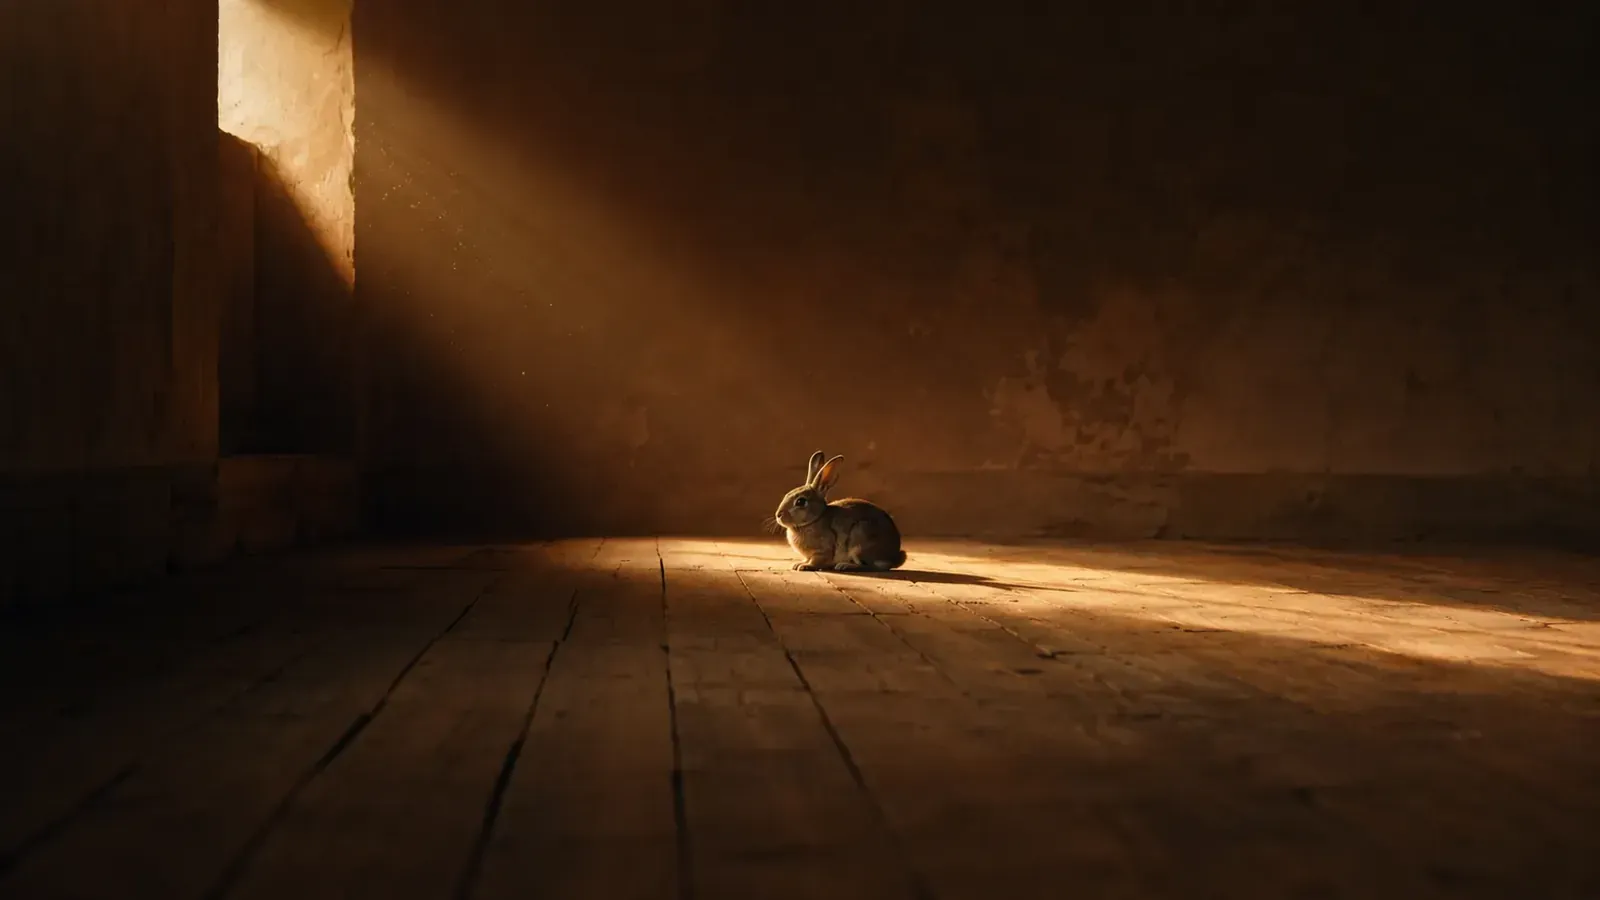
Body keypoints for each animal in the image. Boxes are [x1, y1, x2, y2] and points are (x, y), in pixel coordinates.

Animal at [774, 450, 907, 572]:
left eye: (800, 502)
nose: (778, 515)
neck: (815, 518)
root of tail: (894, 557)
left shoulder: (822, 551)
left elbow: (815, 561)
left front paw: (804, 566)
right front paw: (798, 564)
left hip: (859, 541)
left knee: (869, 566)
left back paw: (844, 566)